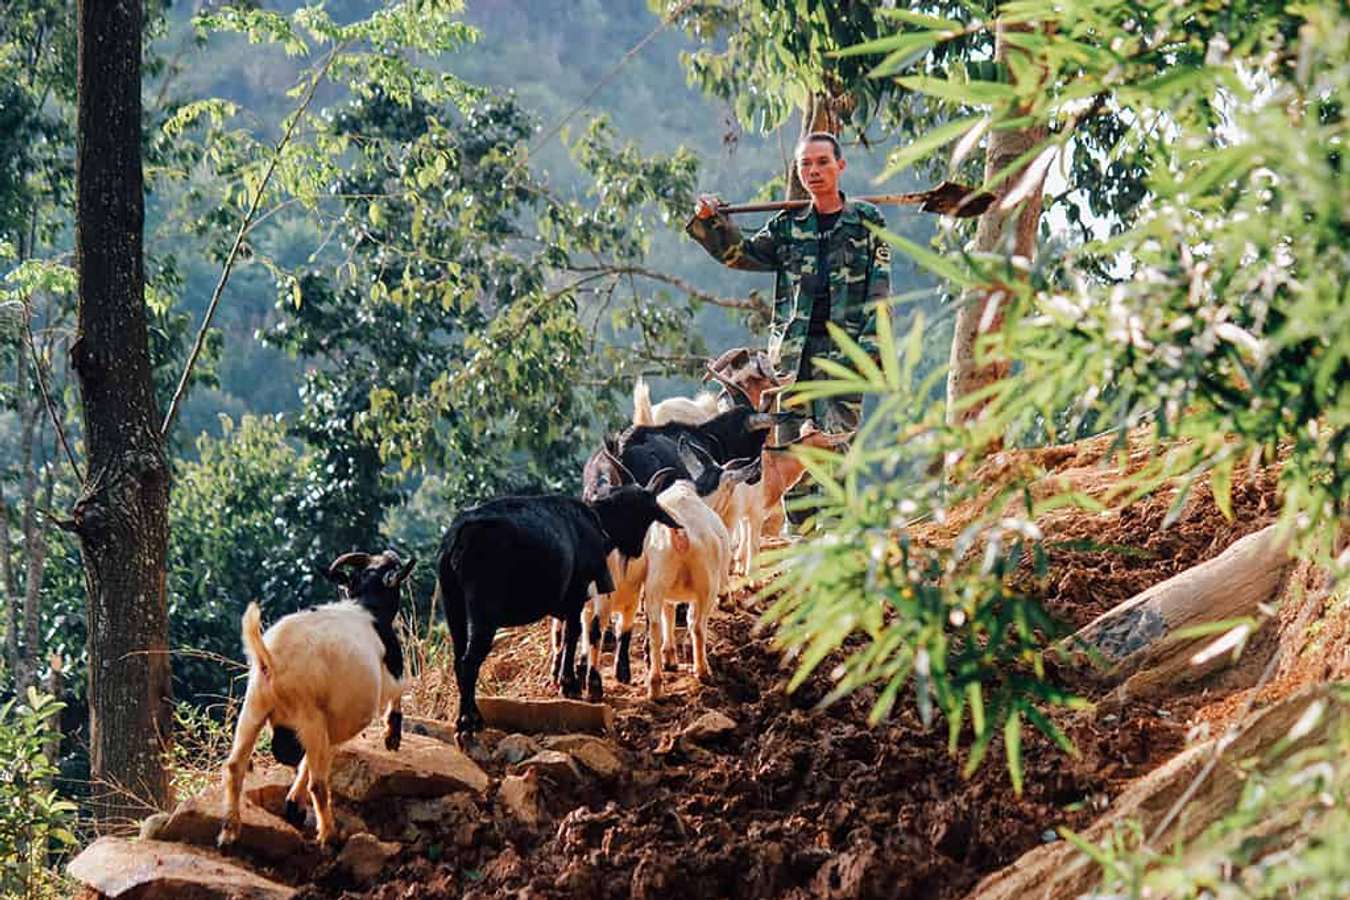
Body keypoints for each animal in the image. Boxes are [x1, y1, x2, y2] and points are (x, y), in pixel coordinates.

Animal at [440, 483, 680, 744]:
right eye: (646, 514)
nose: (637, 551)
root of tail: (460, 534)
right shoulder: (575, 594)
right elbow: (572, 635)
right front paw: (570, 685)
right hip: (483, 610)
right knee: (469, 662)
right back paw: (467, 724)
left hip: (453, 606)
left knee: (458, 660)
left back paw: (470, 719)